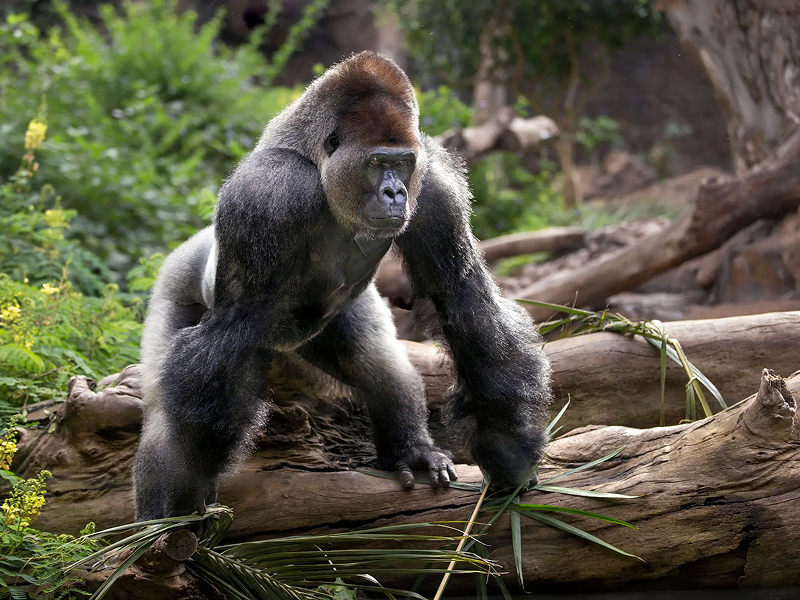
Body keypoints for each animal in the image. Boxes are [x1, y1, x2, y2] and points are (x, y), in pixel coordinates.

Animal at [132, 51, 552, 520]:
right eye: (376, 163)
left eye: (402, 163)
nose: (395, 193)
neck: (319, 165)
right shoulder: (269, 194)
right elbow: (233, 330)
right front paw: (184, 494)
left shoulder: (433, 185)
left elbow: (464, 300)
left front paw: (507, 451)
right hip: (175, 279)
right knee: (164, 403)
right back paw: (156, 524)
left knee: (376, 362)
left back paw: (409, 449)